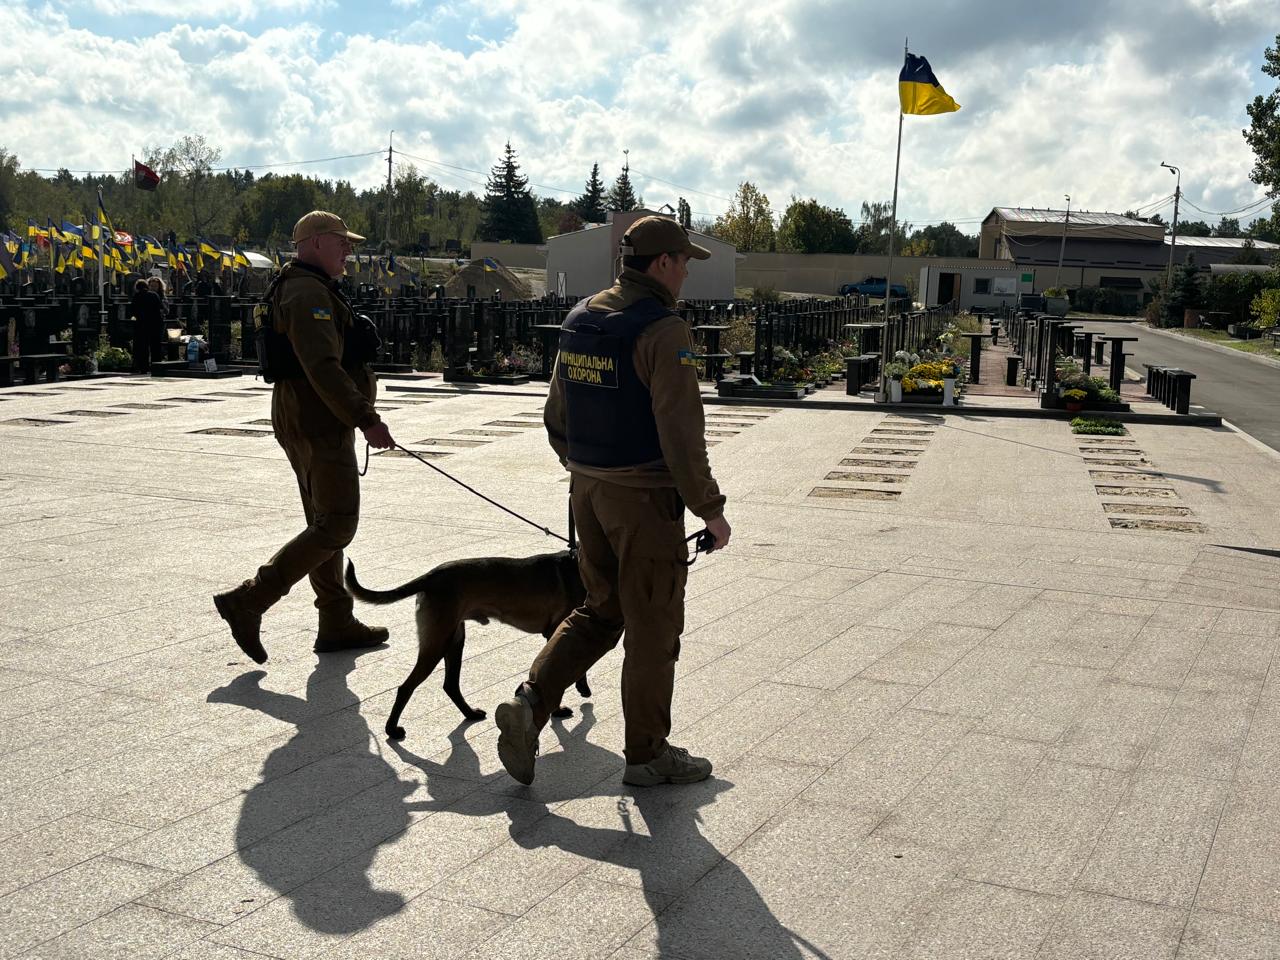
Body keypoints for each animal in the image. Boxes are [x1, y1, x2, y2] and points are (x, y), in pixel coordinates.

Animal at [348, 552, 591, 742]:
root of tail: (431, 577)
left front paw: (581, 688)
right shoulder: (560, 631)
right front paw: (560, 707)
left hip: (454, 640)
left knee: (450, 685)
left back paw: (470, 713)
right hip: (437, 642)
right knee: (406, 687)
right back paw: (392, 729)